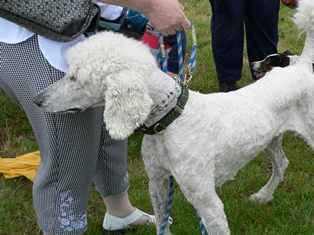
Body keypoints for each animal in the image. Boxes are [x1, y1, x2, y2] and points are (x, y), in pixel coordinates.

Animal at [33, 0, 314, 234]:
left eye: (75, 77)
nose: (37, 100)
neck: (171, 118)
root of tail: (299, 66)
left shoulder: (207, 201)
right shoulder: (157, 182)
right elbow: (161, 222)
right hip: (270, 139)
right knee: (282, 163)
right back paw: (264, 195)